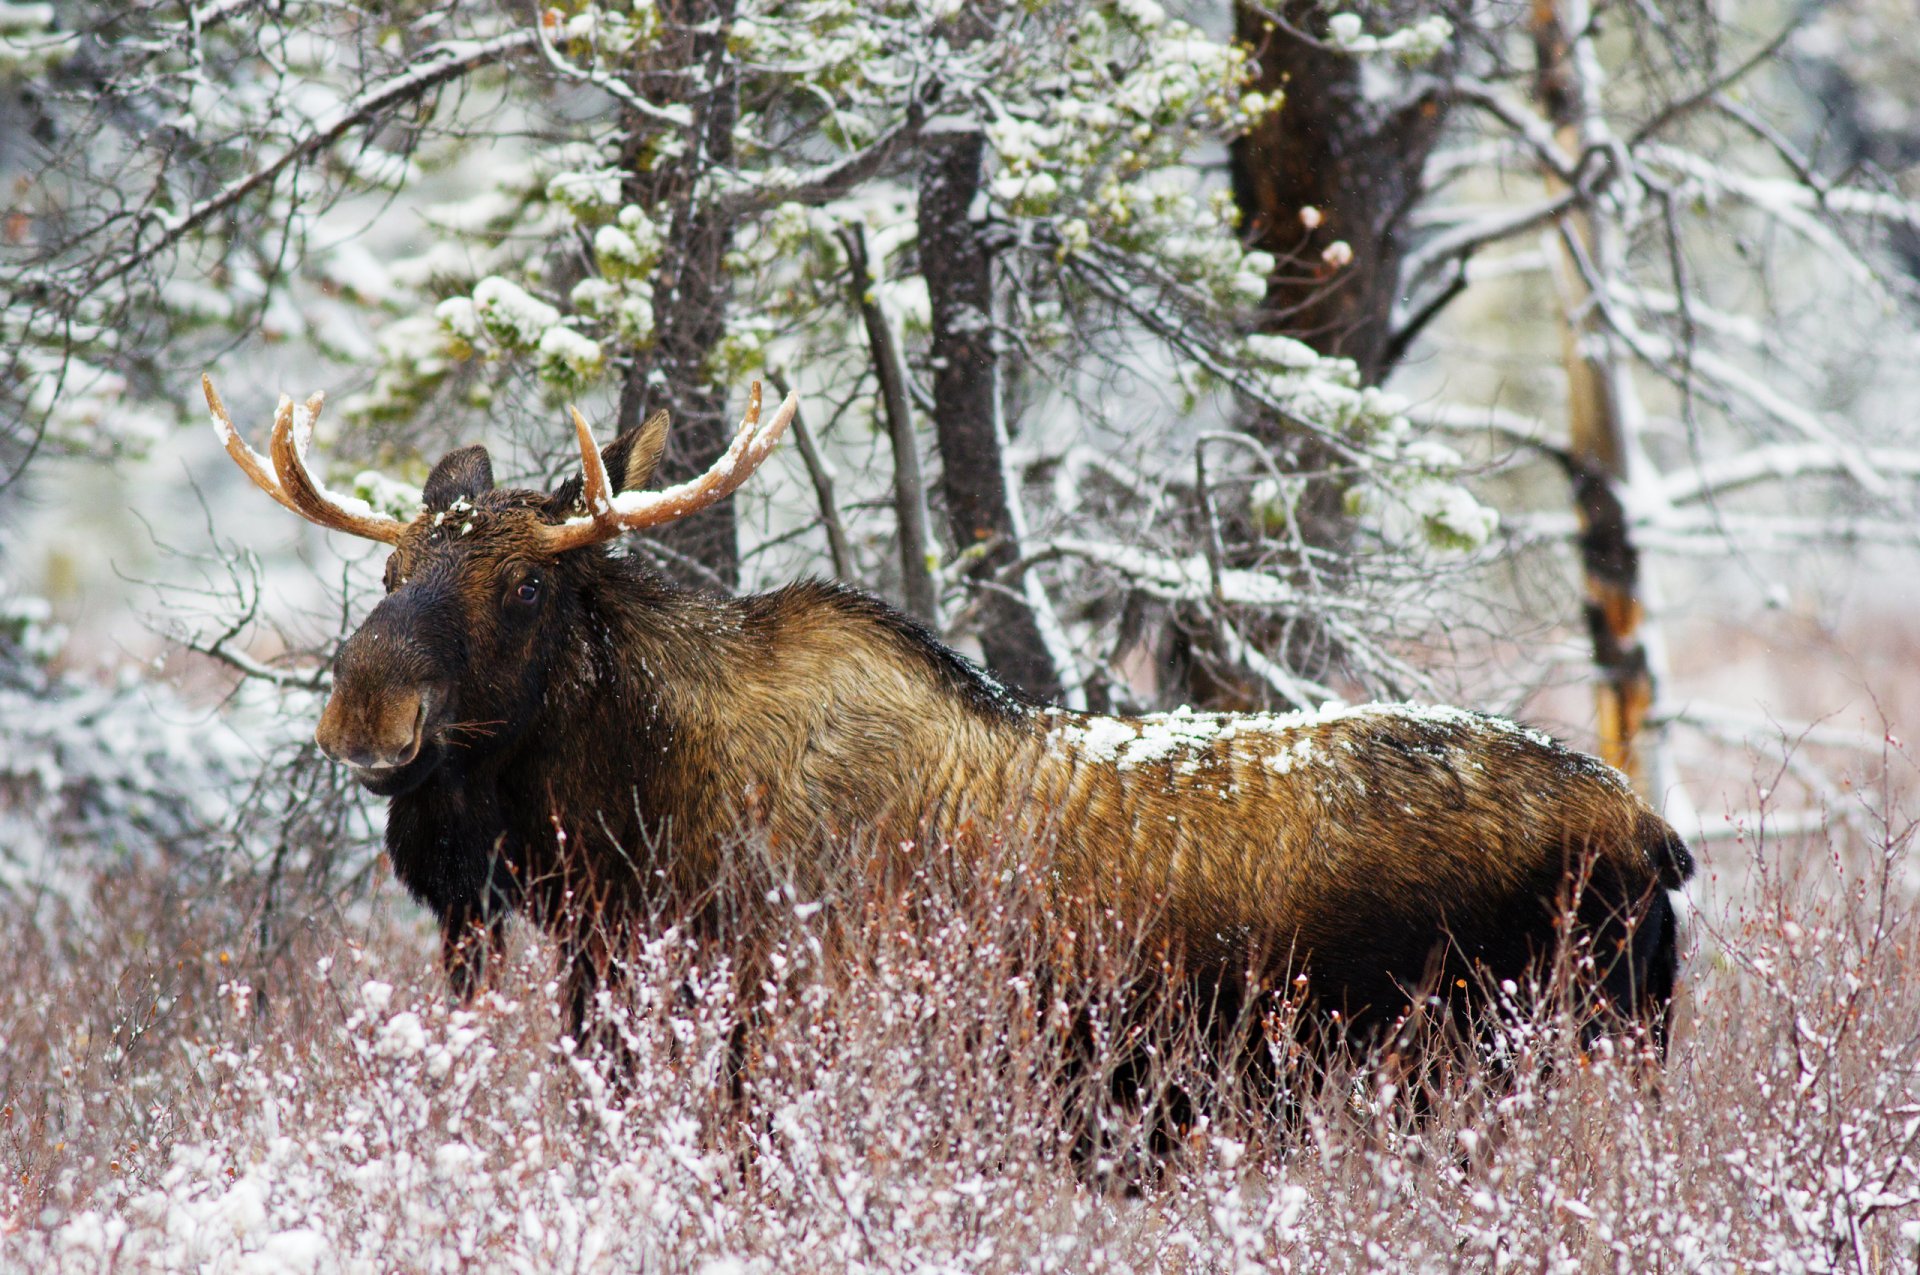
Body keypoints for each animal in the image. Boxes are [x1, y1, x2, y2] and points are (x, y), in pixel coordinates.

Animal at [203, 373, 1693, 1073]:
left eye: (523, 583)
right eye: (387, 576)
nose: (365, 709)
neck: (619, 836)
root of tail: (1659, 836)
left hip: (1534, 1057)